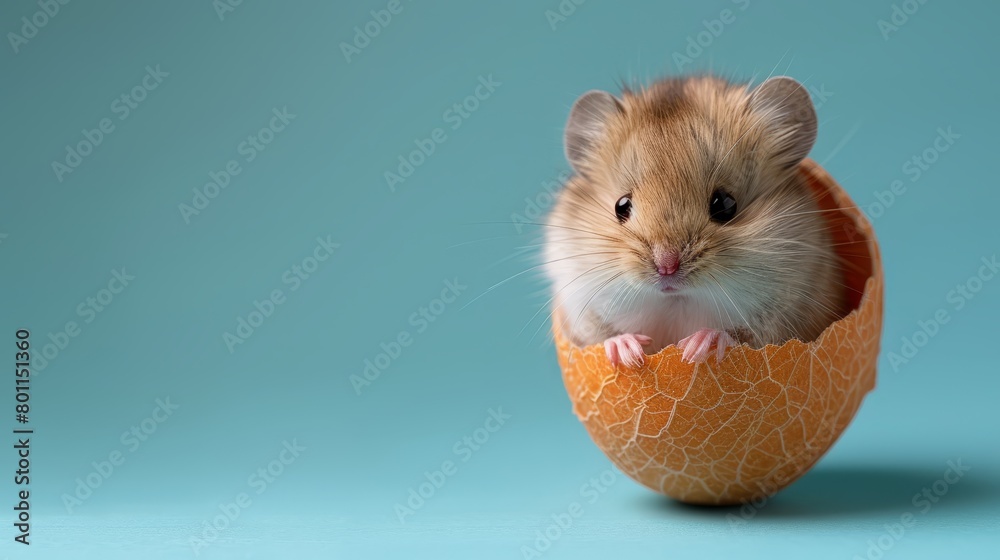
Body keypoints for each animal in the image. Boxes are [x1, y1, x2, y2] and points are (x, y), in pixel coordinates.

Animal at [548, 75, 844, 368]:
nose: (666, 268)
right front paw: (628, 353)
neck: (676, 302)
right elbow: (602, 337)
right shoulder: (579, 310)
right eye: (621, 206)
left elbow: (742, 335)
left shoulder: (786, 315)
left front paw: (695, 347)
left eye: (725, 204)